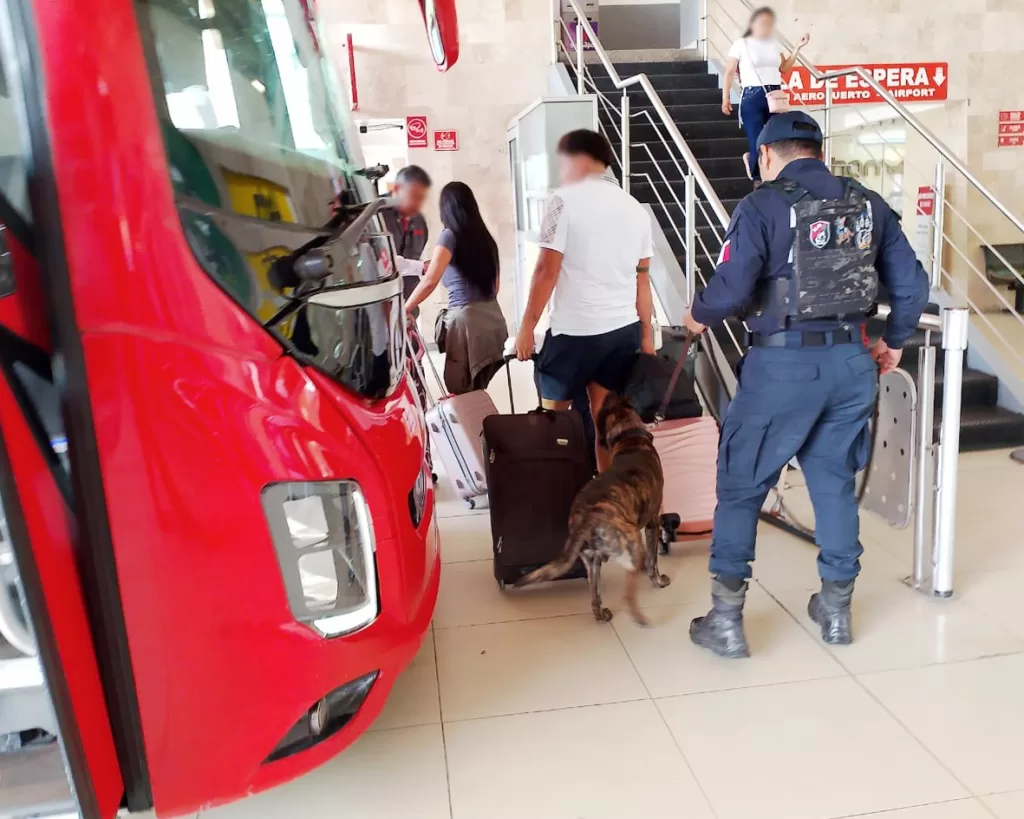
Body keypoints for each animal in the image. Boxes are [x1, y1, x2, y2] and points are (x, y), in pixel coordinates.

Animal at [516, 393, 667, 622]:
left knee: (595, 596)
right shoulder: (653, 522)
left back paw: (602, 614)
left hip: (590, 560)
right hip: (629, 543)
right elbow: (653, 560)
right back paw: (639, 617)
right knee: (629, 592)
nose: (610, 392)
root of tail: (586, 520)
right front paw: (658, 580)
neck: (630, 439)